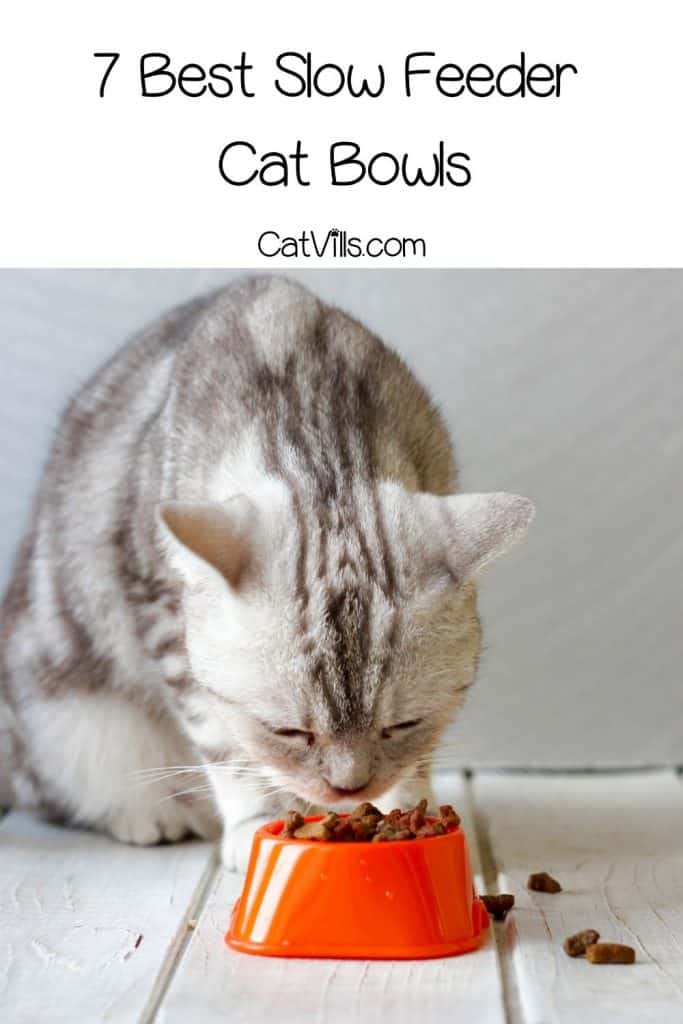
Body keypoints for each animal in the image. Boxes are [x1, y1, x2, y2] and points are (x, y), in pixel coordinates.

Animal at [0, 276, 532, 868]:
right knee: (63, 792)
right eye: (289, 731)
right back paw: (146, 815)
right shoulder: (166, 620)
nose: (349, 789)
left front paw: (407, 810)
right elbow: (227, 746)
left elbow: (416, 760)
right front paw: (254, 820)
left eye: (403, 724)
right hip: (66, 722)